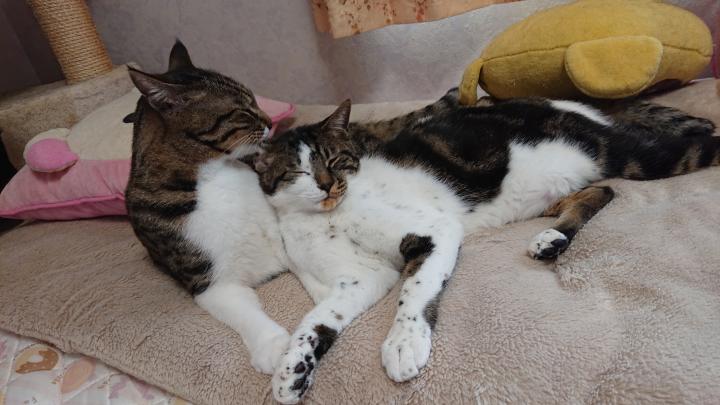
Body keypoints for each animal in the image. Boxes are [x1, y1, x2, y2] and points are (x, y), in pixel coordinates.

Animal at [124, 41, 293, 374]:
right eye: (242, 111)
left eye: (255, 98)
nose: (269, 122)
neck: (213, 174)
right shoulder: (210, 281)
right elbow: (245, 314)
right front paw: (272, 345)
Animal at [250, 90, 718, 403]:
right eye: (297, 171)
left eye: (334, 160)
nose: (328, 187)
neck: (328, 218)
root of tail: (563, 101)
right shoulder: (356, 279)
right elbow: (315, 320)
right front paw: (293, 368)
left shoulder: (436, 230)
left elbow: (414, 291)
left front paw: (404, 343)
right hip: (557, 190)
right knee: (602, 191)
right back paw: (552, 240)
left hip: (637, 155)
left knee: (692, 148)